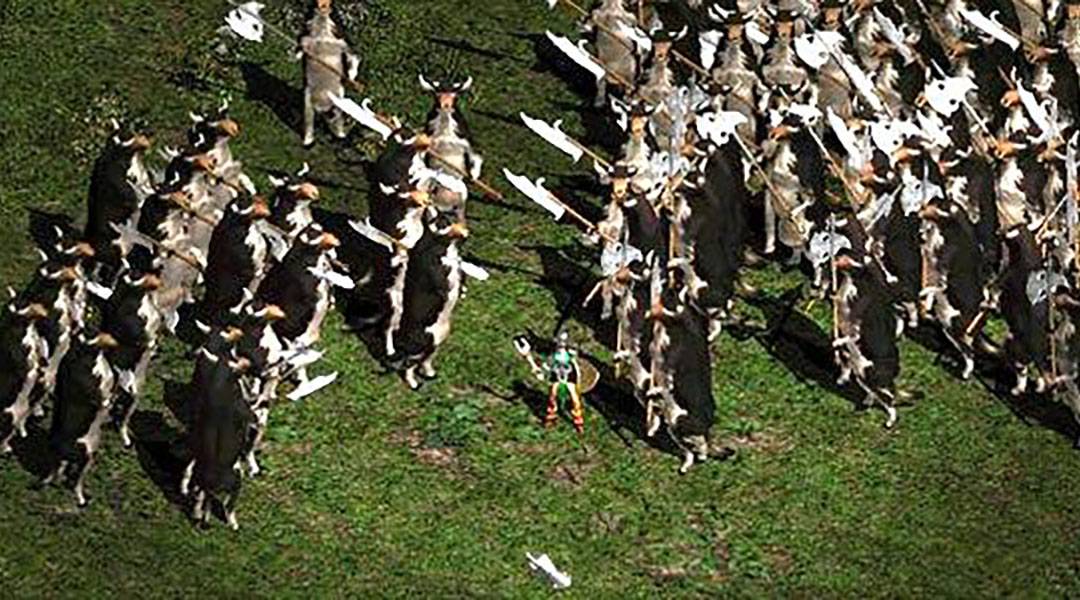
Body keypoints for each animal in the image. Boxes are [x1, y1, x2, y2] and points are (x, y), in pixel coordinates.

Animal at [298, 0, 359, 146]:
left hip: (337, 103)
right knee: (309, 122)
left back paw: (340, 136)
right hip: (308, 101)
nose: (322, 4)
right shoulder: (305, 38)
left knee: (338, 121)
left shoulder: (343, 42)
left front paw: (353, 79)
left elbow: (352, 56)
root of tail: (323, 108)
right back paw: (308, 141)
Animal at [388, 218, 469, 390]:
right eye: (443, 223)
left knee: (426, 359)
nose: (465, 232)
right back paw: (414, 385)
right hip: (420, 345)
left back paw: (431, 374)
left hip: (437, 340)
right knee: (410, 365)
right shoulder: (438, 274)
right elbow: (445, 287)